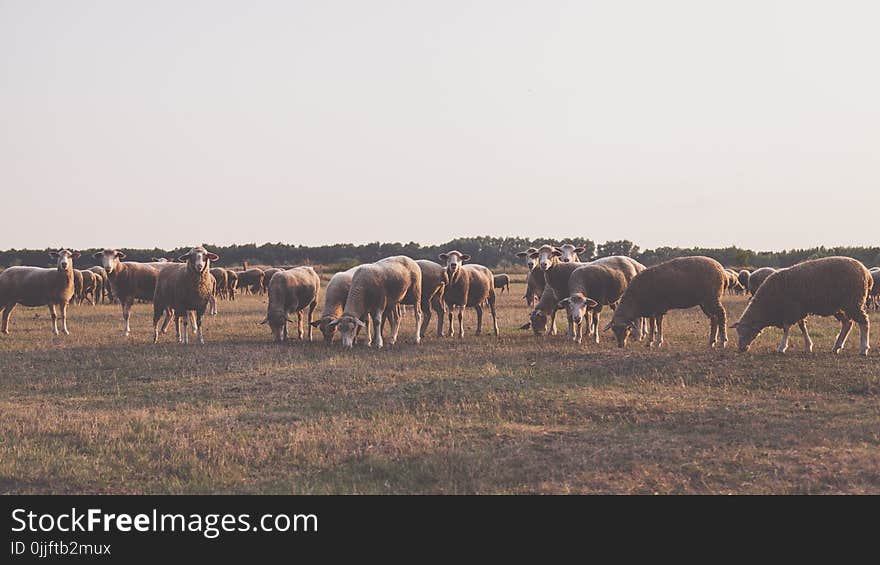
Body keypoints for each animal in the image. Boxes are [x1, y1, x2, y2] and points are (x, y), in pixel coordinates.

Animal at [728, 256, 872, 354]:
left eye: (745, 332)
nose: (741, 348)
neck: (768, 304)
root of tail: (866, 273)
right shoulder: (798, 310)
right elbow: (802, 326)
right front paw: (808, 346)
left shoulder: (791, 310)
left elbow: (787, 328)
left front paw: (782, 347)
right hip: (840, 306)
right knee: (847, 323)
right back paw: (836, 347)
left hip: (854, 302)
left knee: (864, 322)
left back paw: (863, 349)